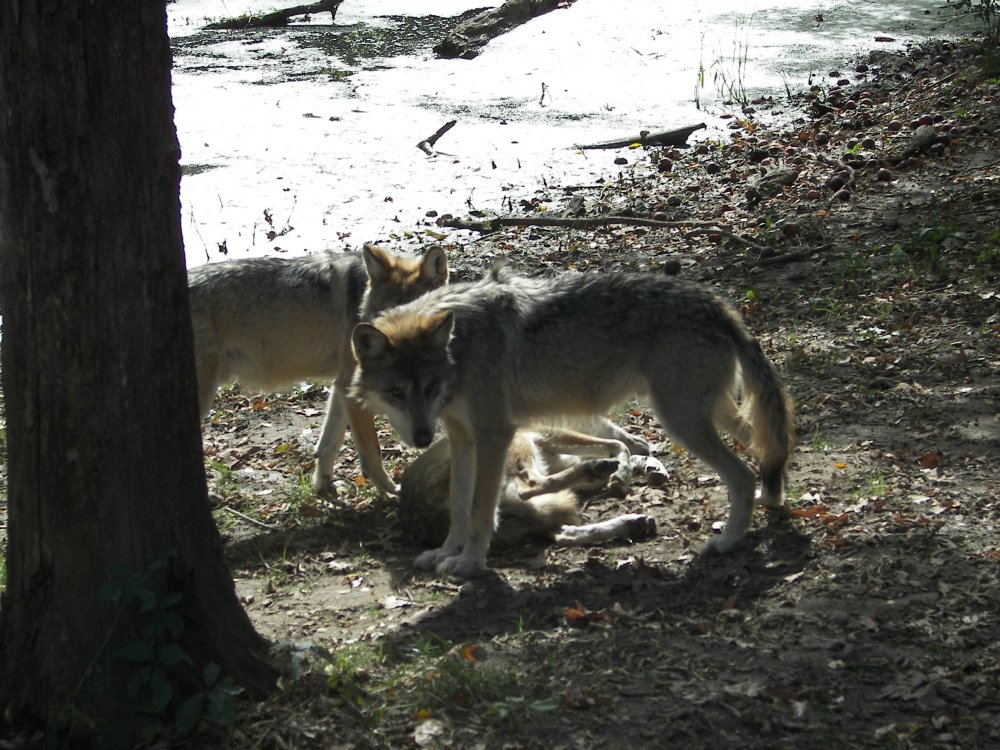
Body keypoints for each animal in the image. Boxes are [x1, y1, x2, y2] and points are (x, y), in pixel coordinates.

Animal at [189, 244, 448, 496]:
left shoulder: (342, 386)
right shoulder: (353, 391)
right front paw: (391, 492)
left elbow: (328, 445)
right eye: (383, 318)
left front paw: (324, 487)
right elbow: (371, 451)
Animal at [394, 424, 668, 552]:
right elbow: (619, 445)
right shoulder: (548, 435)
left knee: (564, 535)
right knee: (533, 486)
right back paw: (598, 469)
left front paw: (648, 468)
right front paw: (621, 473)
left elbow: (626, 452)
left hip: (531, 514)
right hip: (518, 448)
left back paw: (633, 523)